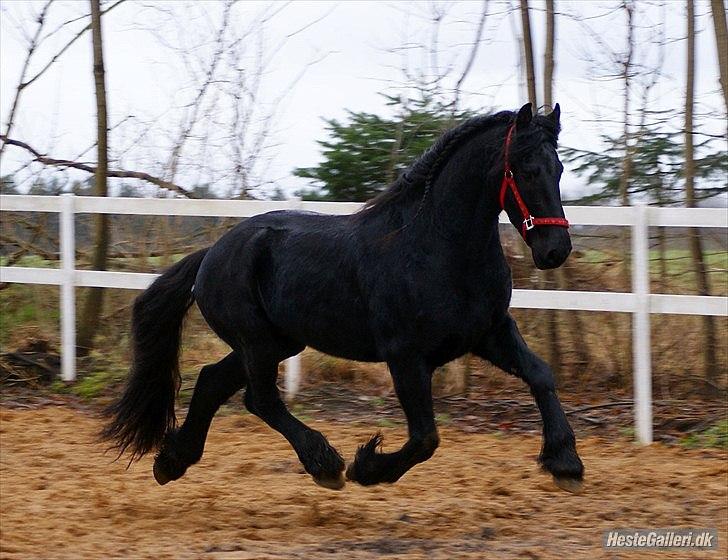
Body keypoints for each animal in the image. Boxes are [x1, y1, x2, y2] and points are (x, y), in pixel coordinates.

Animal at [102, 103, 584, 492]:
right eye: (526, 169)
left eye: (559, 169)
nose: (555, 251)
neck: (436, 248)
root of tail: (211, 254)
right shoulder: (406, 355)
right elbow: (425, 437)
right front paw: (367, 467)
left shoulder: (490, 332)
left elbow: (541, 375)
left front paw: (566, 464)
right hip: (257, 341)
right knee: (260, 399)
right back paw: (326, 464)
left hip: (276, 342)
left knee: (211, 382)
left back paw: (171, 462)